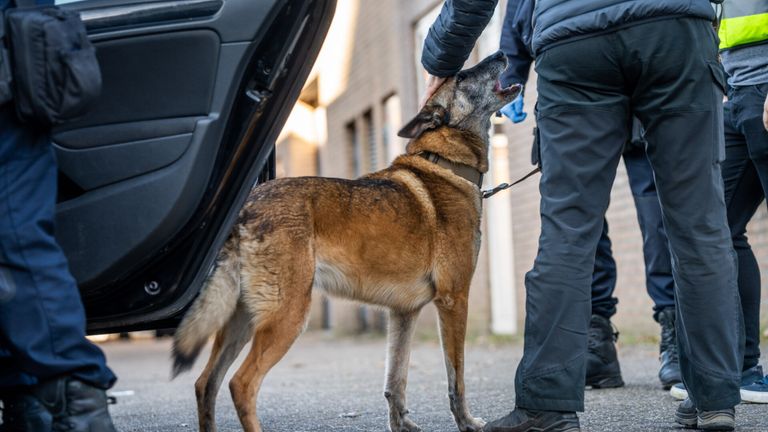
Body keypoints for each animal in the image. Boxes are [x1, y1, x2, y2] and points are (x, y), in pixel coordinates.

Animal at [172, 52, 520, 432]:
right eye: (463, 75)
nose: (501, 54)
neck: (446, 164)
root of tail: (247, 206)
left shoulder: (403, 313)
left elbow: (395, 379)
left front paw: (401, 426)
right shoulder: (454, 300)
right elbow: (456, 377)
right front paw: (467, 423)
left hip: (242, 320)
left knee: (206, 382)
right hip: (286, 317)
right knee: (241, 383)